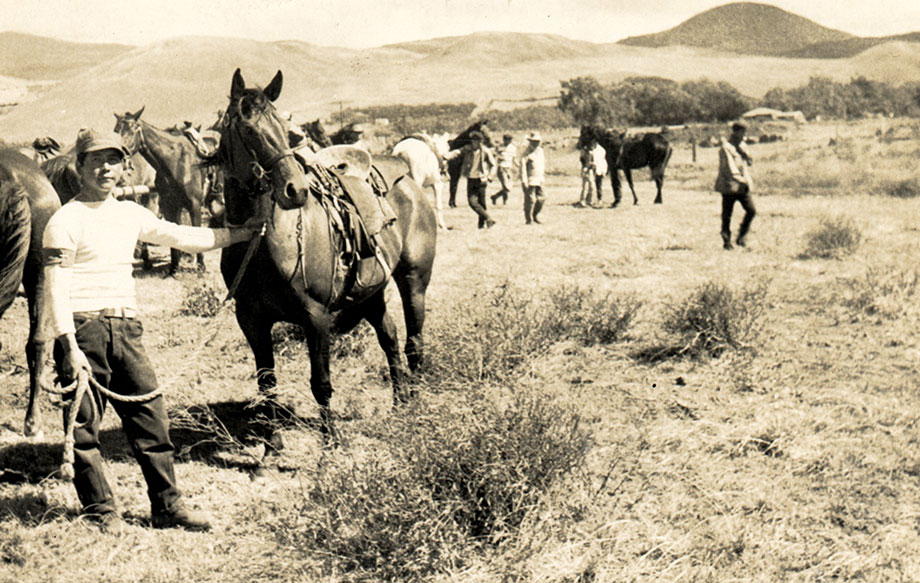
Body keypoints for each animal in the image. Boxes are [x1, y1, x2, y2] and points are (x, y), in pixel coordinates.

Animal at [114, 109, 215, 274]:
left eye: (132, 129)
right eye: (116, 130)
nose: (120, 156)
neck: (175, 162)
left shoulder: (194, 205)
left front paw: (201, 266)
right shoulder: (169, 207)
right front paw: (174, 267)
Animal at [214, 69, 436, 442]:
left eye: (287, 132)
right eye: (248, 129)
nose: (296, 190)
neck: (265, 244)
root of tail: (405, 173)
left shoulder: (315, 317)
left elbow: (321, 383)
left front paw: (329, 444)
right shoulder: (250, 319)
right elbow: (267, 382)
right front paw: (272, 445)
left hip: (413, 282)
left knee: (414, 344)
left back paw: (416, 405)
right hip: (370, 292)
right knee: (390, 338)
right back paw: (399, 404)